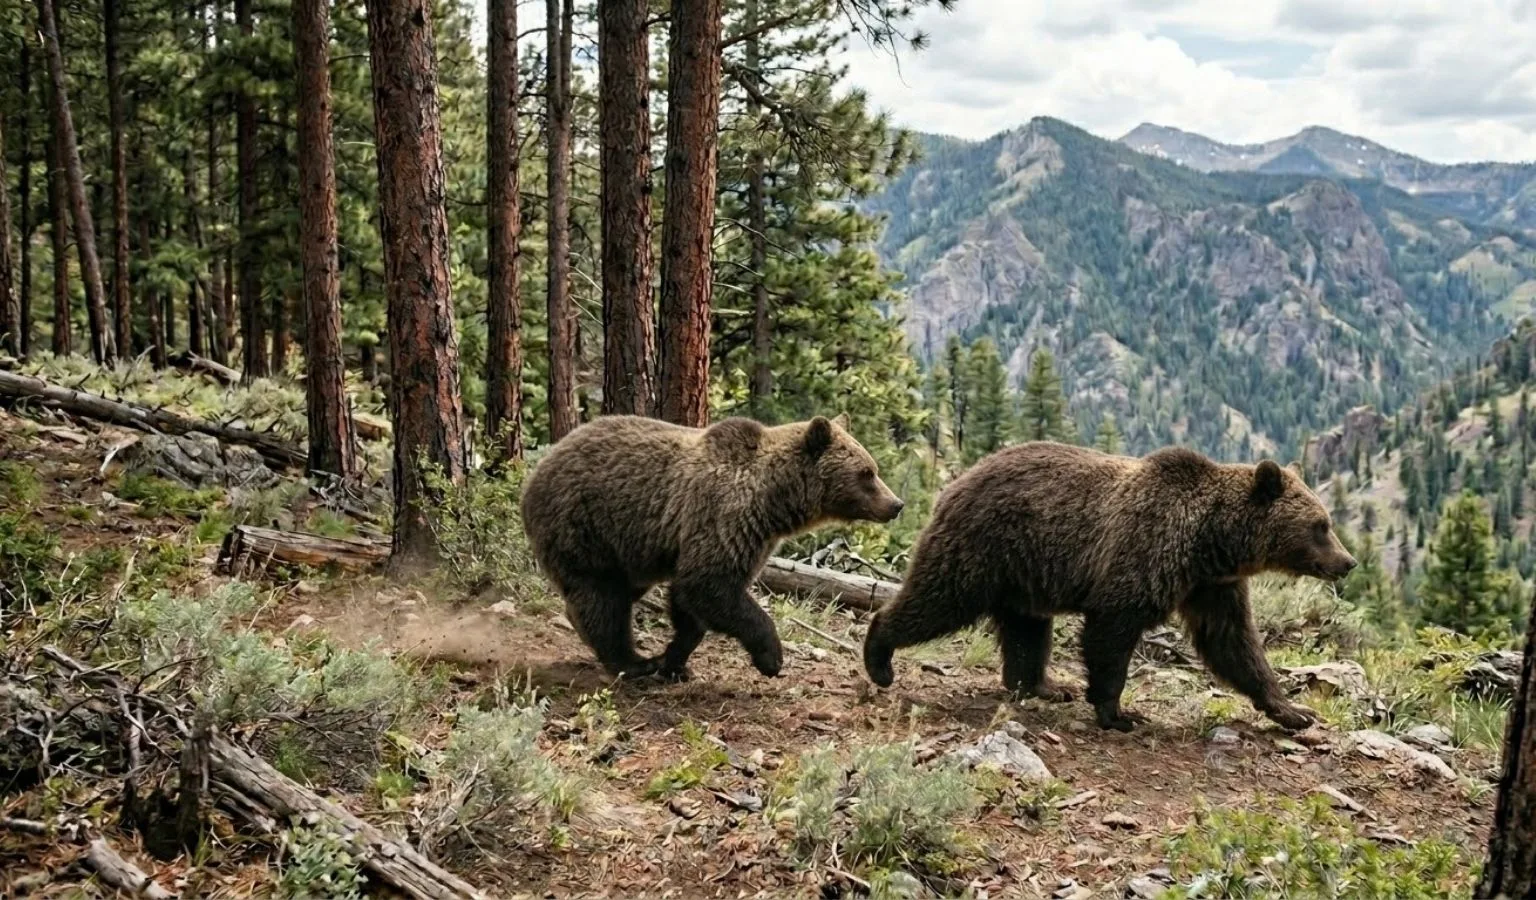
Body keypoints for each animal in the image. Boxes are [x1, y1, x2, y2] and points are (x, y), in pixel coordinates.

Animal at [521, 413, 905, 681]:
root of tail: (536, 472)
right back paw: (630, 661)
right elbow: (709, 586)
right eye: (866, 473)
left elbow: (690, 604)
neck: (774, 502)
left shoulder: (751, 538)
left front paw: (675, 661)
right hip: (586, 525)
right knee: (602, 597)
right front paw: (771, 658)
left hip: (628, 550)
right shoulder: (724, 518)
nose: (896, 504)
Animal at [862, 442, 1356, 732]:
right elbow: (1112, 632)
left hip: (1023, 573)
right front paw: (1117, 712)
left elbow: (1234, 644)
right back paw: (879, 657)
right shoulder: (1144, 553)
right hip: (982, 548)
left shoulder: (1212, 586)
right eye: (1321, 525)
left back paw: (1043, 684)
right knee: (937, 600)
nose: (1347, 562)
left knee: (1026, 629)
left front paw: (1294, 711)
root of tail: (958, 480)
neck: (1210, 541)